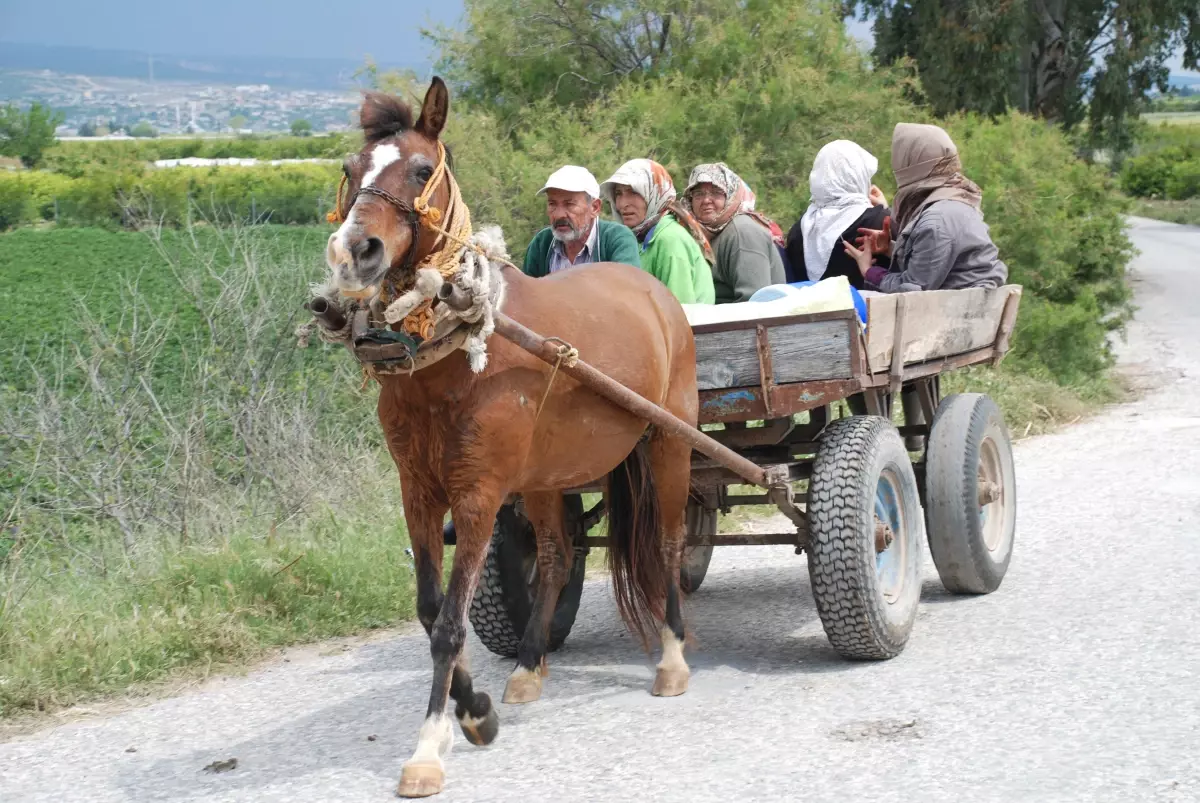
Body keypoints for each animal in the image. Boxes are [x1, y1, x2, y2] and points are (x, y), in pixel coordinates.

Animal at [324, 75, 700, 796]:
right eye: (352, 171)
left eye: (421, 170)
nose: (355, 252)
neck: (457, 346)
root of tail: (654, 293)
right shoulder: (419, 493)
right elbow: (428, 608)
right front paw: (476, 709)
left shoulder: (477, 495)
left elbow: (449, 624)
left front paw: (431, 745)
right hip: (548, 479)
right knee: (554, 555)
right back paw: (528, 666)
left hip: (669, 443)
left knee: (667, 544)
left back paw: (672, 656)